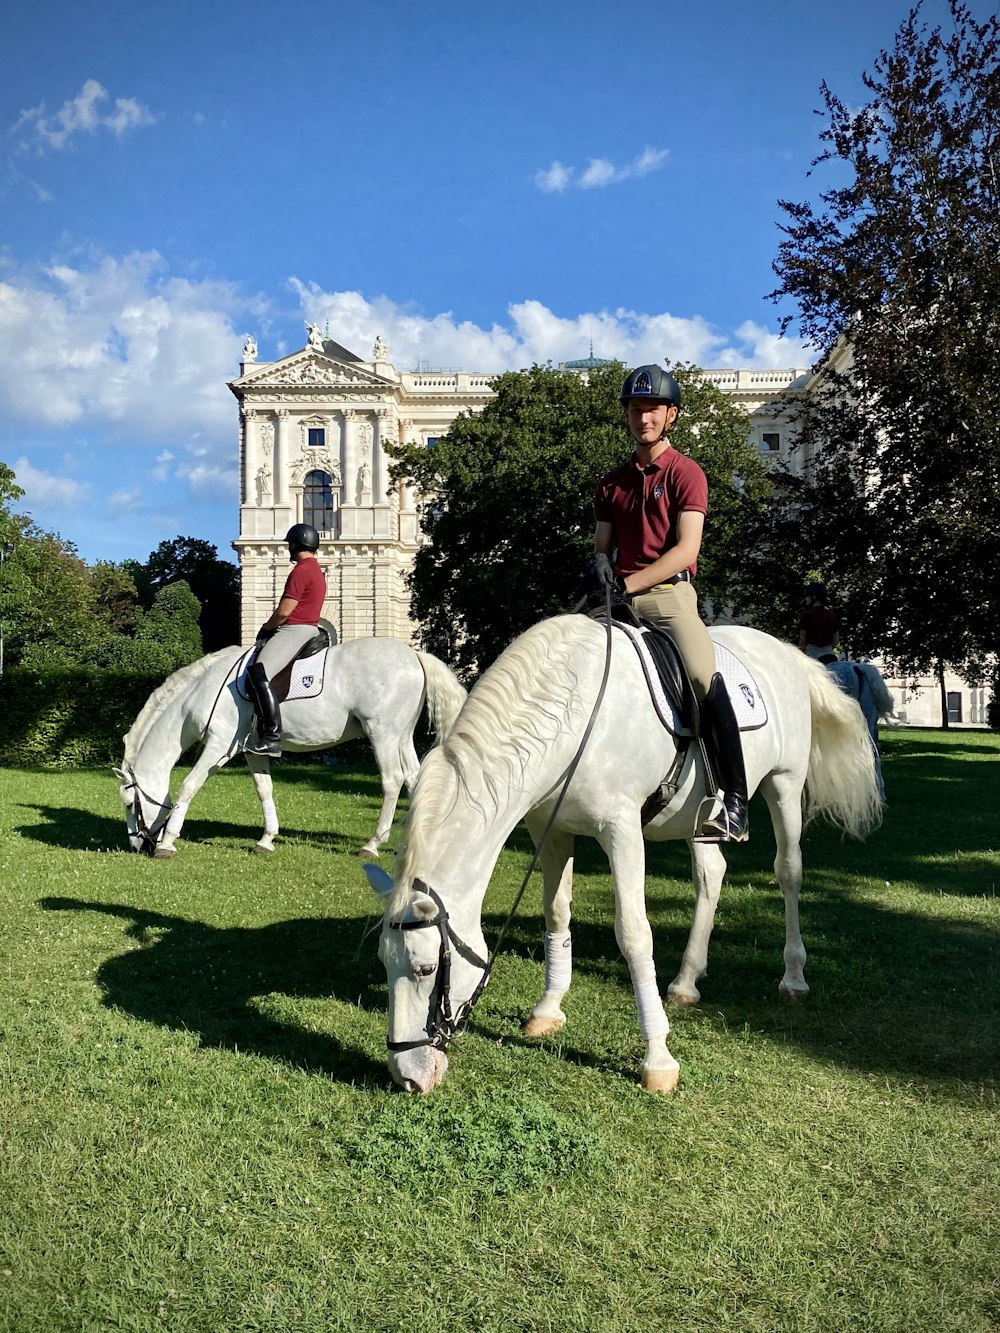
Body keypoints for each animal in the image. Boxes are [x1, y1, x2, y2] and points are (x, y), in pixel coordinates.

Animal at [115, 637, 469, 863]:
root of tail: (413, 655)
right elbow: (264, 790)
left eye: (130, 803)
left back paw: (372, 844)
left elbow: (188, 786)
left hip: (381, 734)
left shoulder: (218, 747)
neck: (201, 692)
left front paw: (167, 842)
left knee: (392, 781)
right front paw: (266, 840)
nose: (135, 845)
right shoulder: (253, 752)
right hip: (401, 736)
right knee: (414, 779)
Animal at [368, 613, 885, 1093]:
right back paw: (685, 982)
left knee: (789, 872)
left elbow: (634, 933)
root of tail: (783, 650)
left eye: (425, 968)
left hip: (785, 784)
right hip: (699, 818)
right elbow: (557, 913)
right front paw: (548, 1009)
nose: (406, 1077)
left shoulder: (621, 830)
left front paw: (658, 1058)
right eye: (384, 962)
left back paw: (793, 976)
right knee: (710, 876)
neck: (573, 716)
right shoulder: (550, 830)